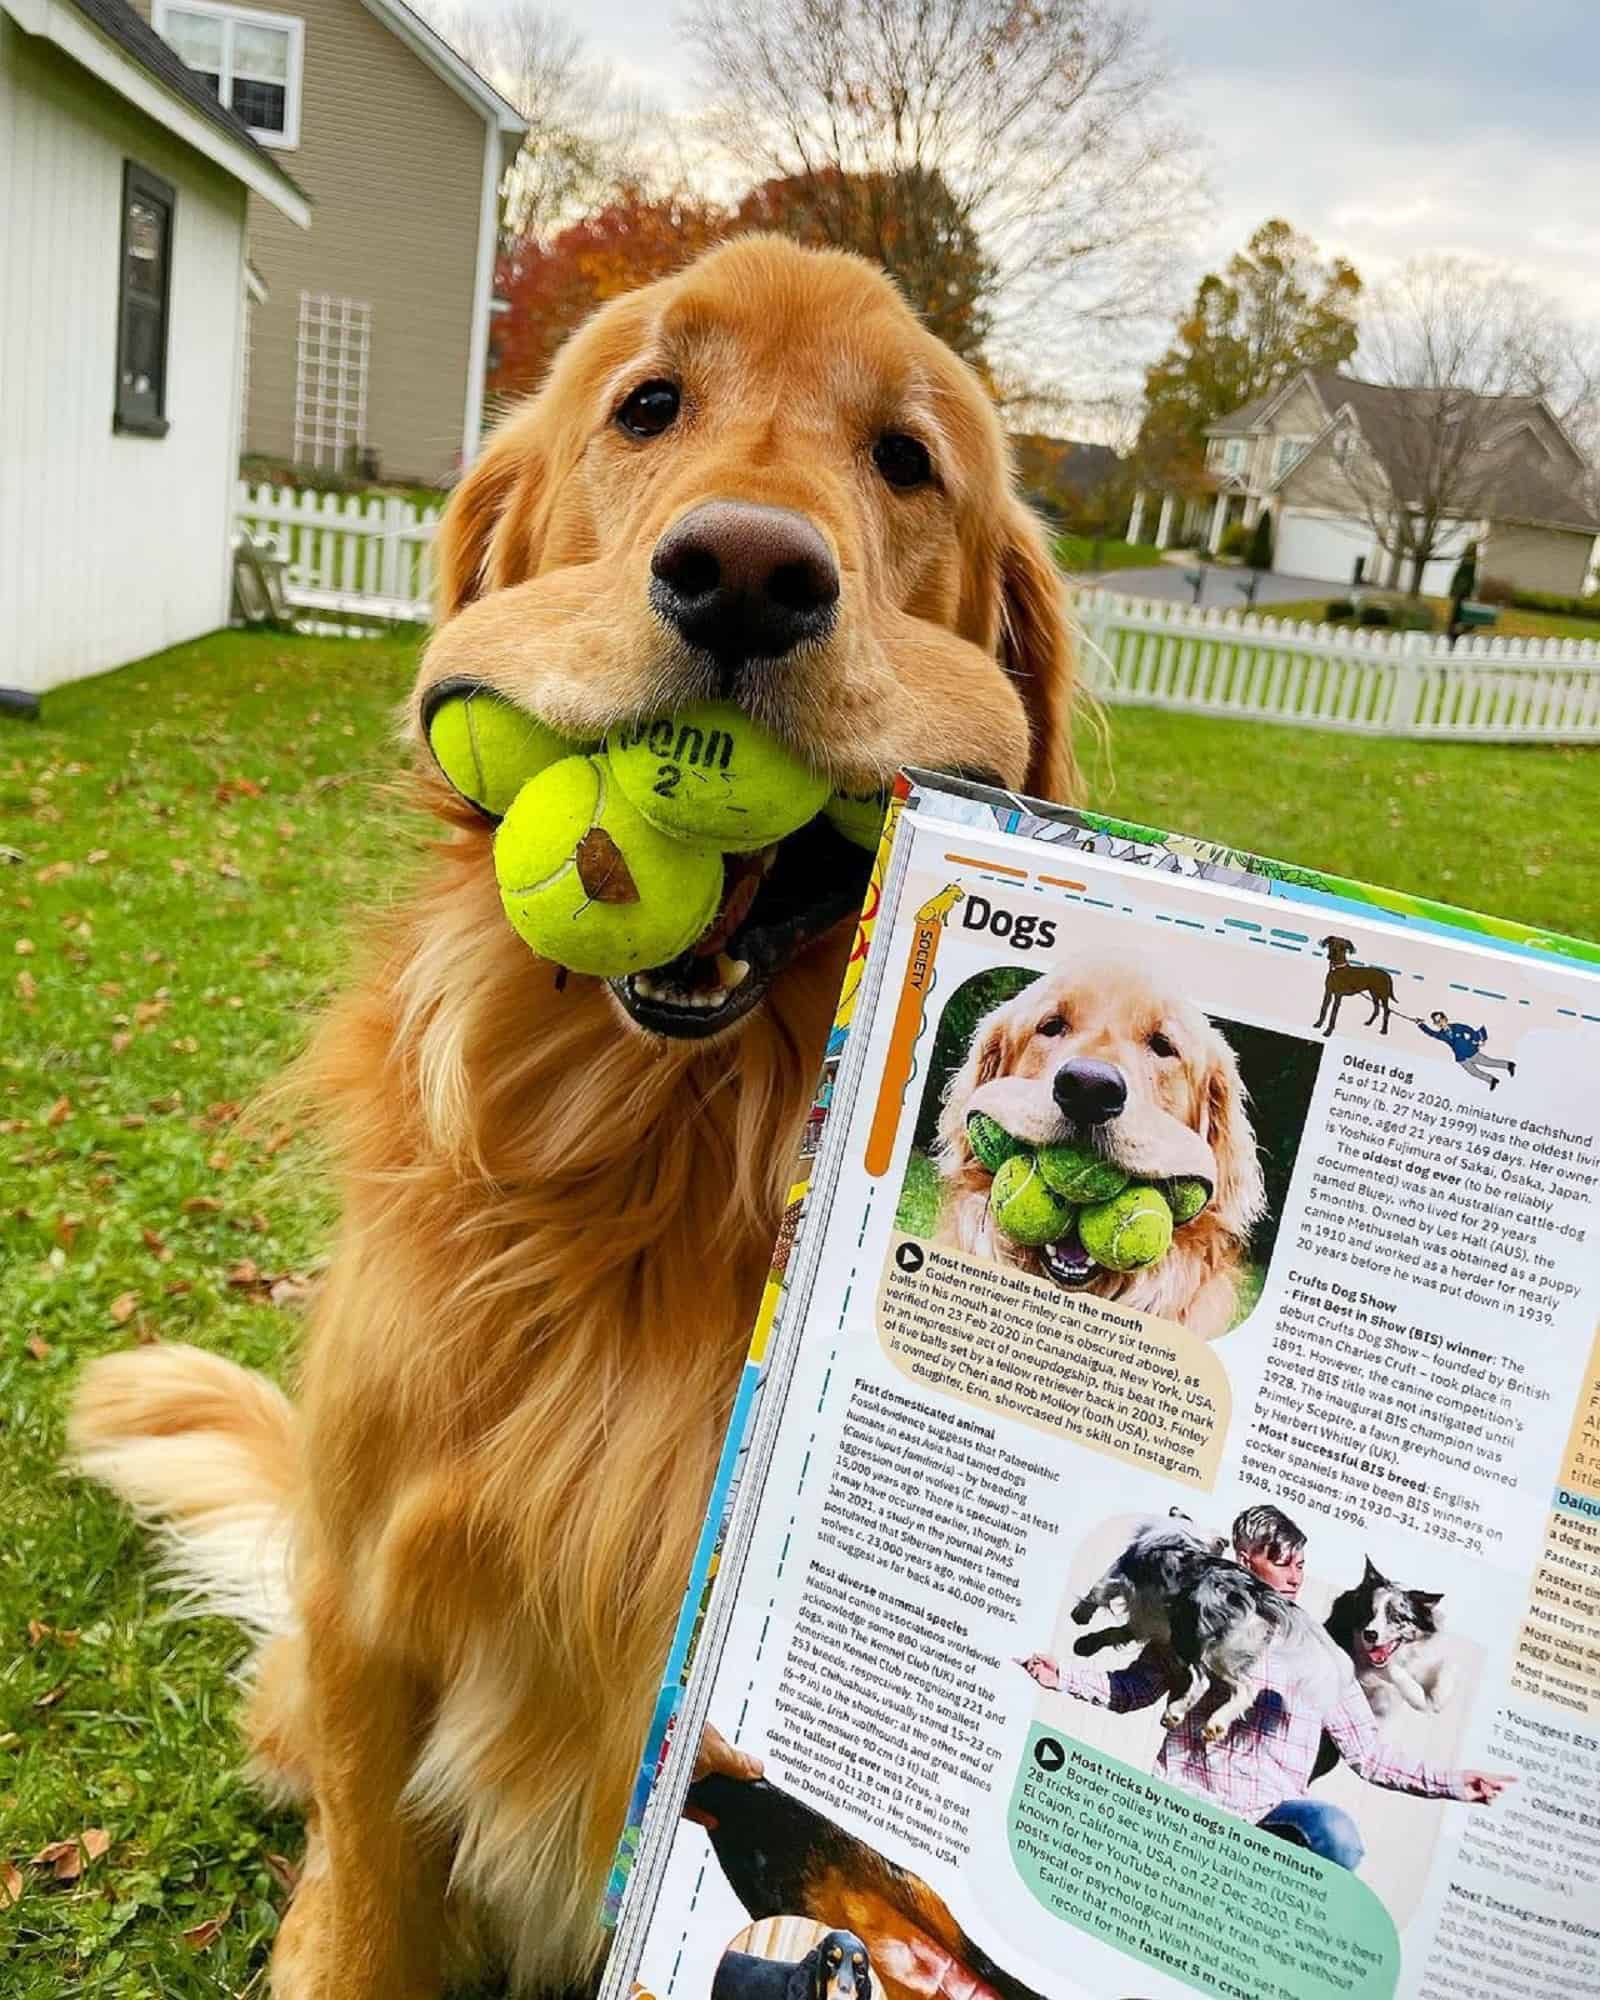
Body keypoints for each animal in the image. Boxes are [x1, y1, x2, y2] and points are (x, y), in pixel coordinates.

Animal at [69, 238, 1080, 2000]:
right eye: (648, 404)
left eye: (906, 460)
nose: (745, 575)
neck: (652, 1157)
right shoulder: (372, 1602)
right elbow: (365, 1902)